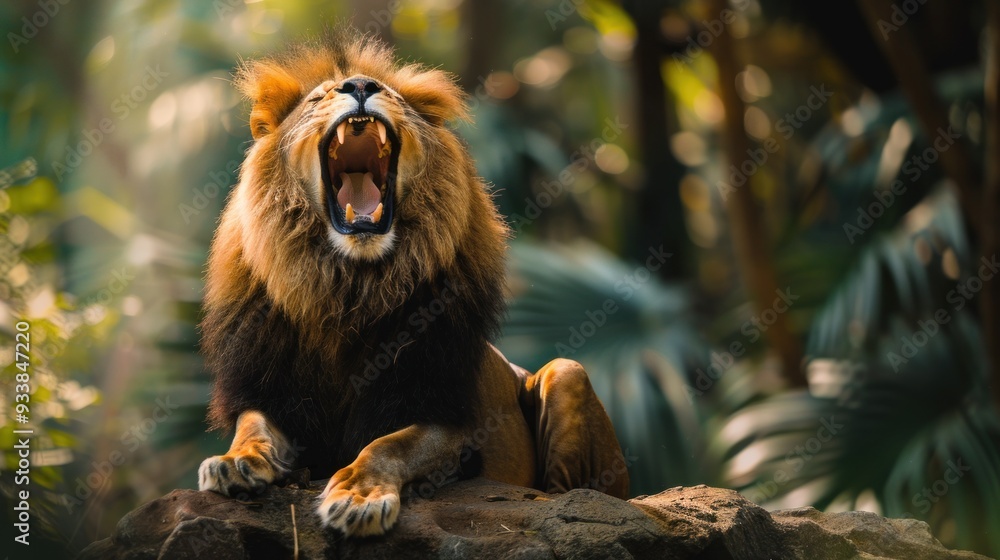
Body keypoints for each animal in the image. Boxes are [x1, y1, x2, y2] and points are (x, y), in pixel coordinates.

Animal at [197, 31, 629, 537]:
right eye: (317, 98)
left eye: (391, 94)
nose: (360, 85)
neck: (347, 288)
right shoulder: (273, 392)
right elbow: (253, 426)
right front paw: (235, 461)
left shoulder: (447, 415)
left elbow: (389, 445)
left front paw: (358, 497)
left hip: (567, 373)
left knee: (570, 493)